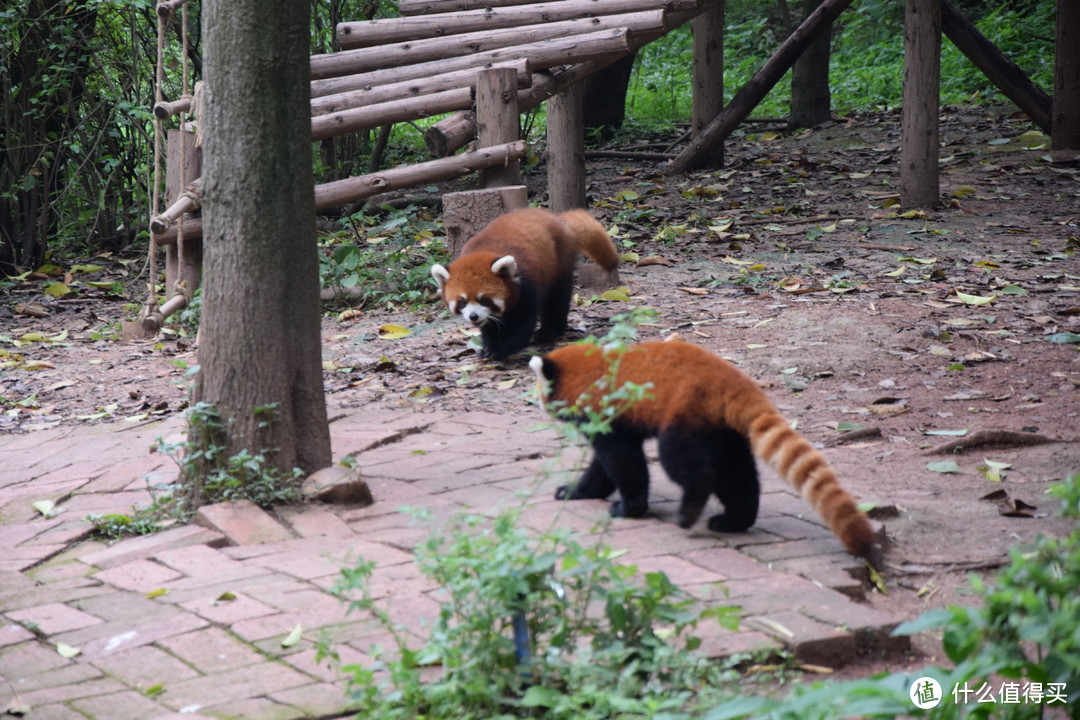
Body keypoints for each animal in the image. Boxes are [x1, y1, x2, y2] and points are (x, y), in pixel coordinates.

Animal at [427, 208, 617, 360]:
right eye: (462, 302)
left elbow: (523, 324)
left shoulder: (526, 284)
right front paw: (488, 347)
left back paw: (550, 330)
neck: (484, 251)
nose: (473, 316)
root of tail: (558, 219)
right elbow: (490, 325)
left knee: (556, 300)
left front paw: (502, 348)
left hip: (558, 262)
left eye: (484, 300)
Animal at [527, 341, 881, 565]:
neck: (591, 371)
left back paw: (689, 511)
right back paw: (734, 520)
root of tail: (733, 380)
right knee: (738, 476)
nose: (537, 406)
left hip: (686, 413)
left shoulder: (609, 416)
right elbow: (603, 465)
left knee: (689, 466)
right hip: (724, 429)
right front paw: (577, 491)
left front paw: (629, 507)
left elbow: (622, 463)